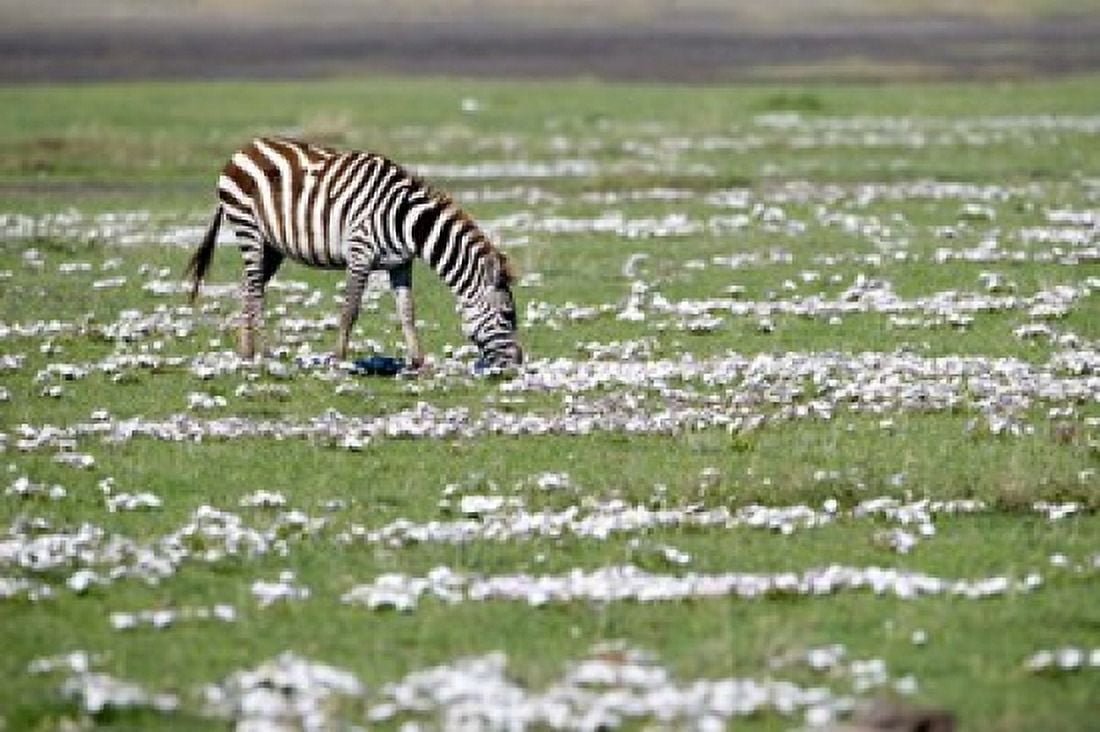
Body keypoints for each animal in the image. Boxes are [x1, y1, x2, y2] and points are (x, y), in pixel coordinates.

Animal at [185, 137, 523, 368]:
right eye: (507, 315)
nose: (518, 362)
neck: (407, 222)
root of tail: (245, 148)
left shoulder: (400, 263)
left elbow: (408, 312)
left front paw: (419, 363)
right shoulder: (360, 253)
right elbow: (350, 309)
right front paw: (338, 359)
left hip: (272, 244)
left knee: (248, 287)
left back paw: (247, 353)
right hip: (248, 228)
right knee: (255, 290)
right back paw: (266, 352)